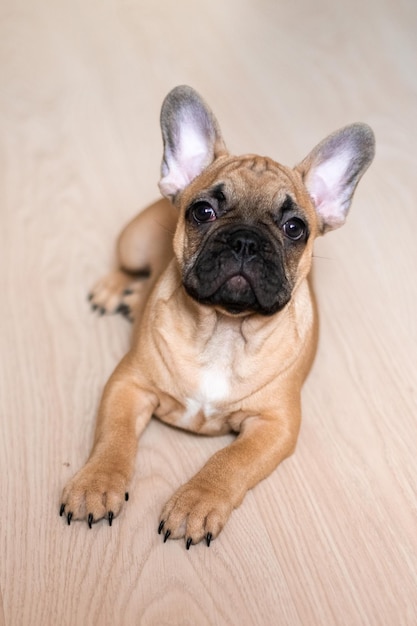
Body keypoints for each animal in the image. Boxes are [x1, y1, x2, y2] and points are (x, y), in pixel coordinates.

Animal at [60, 84, 376, 544]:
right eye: (202, 212)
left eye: (295, 228)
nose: (245, 240)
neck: (224, 329)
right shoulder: (127, 384)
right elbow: (114, 438)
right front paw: (95, 484)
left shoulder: (275, 424)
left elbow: (231, 461)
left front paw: (196, 503)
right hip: (132, 242)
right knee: (126, 265)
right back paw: (115, 289)